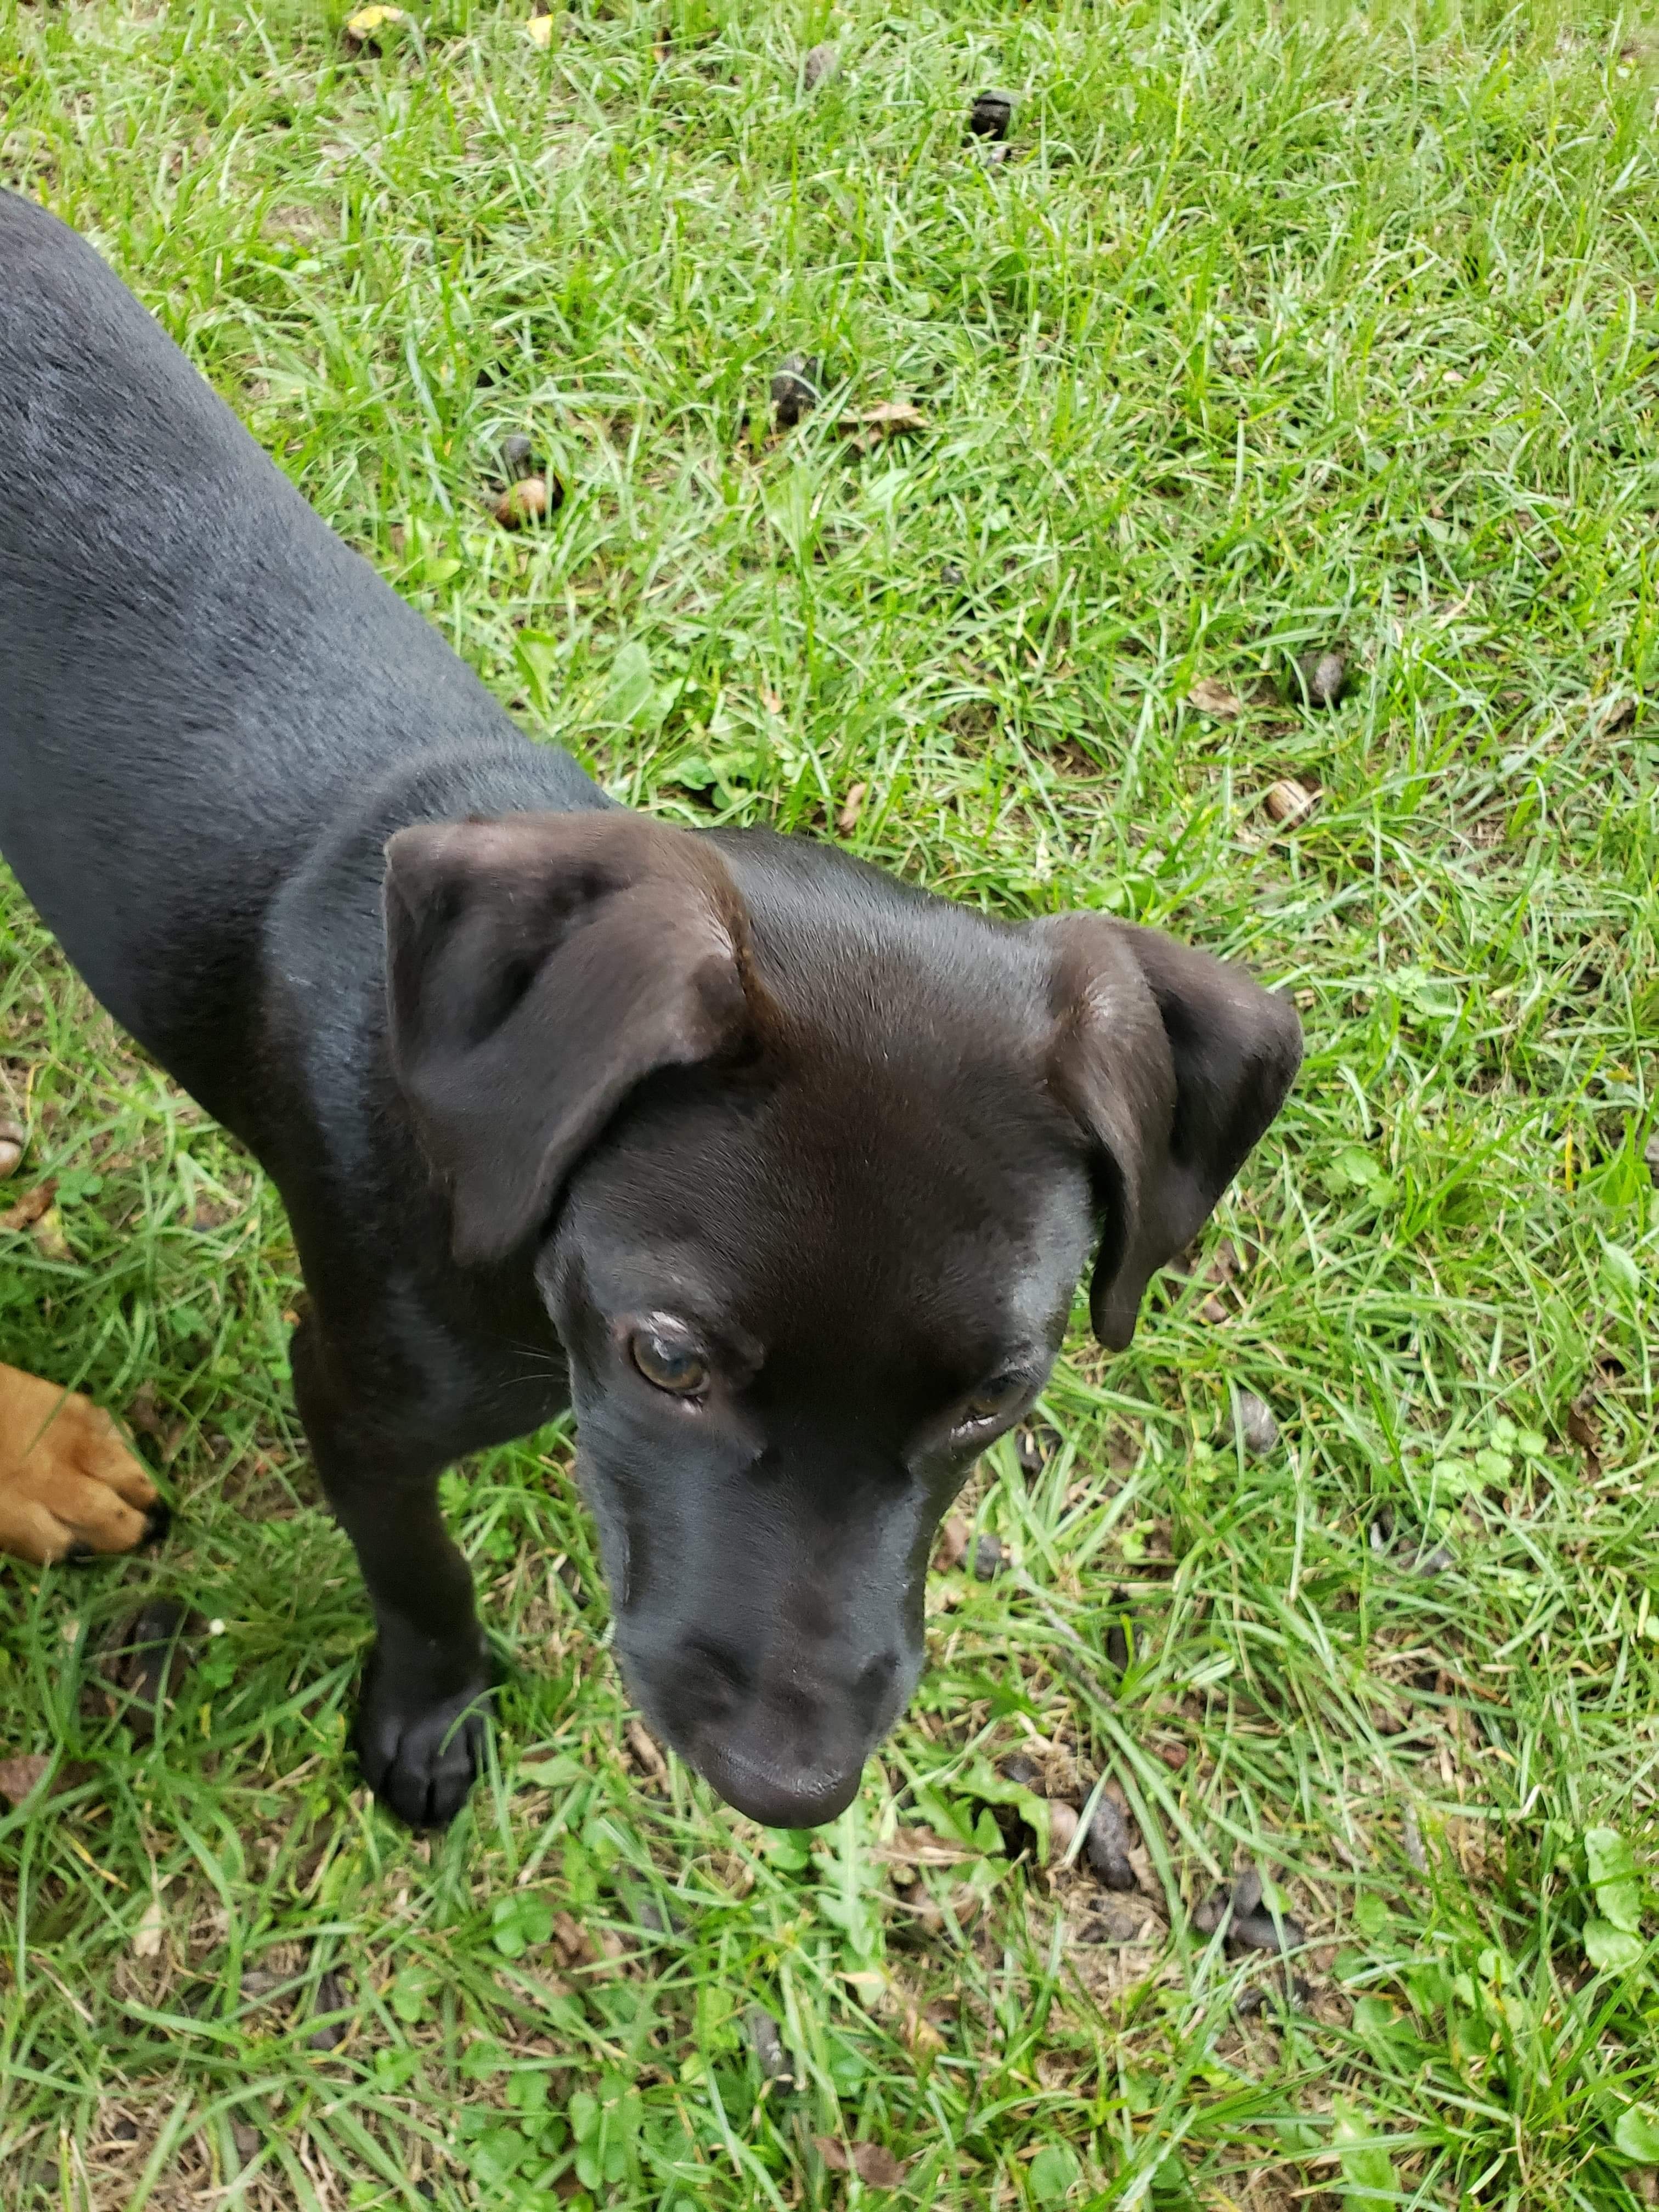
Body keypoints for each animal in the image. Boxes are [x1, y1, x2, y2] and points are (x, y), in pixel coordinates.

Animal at [0, 199, 1300, 1831]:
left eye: (999, 1397)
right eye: (669, 1362)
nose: (791, 1787)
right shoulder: (355, 1403)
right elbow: (421, 1574)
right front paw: (429, 1716)